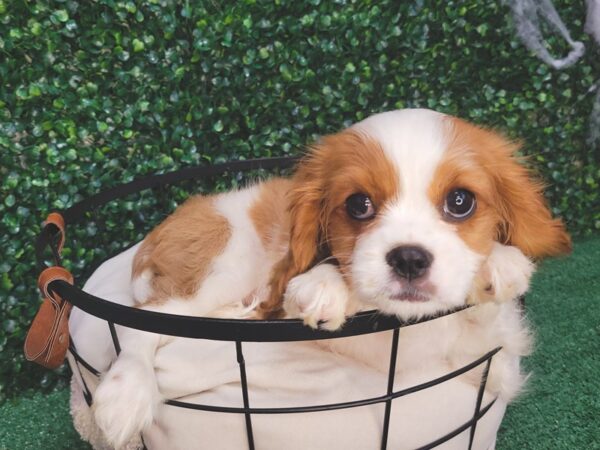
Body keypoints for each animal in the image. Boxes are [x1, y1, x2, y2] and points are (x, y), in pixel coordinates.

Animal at [94, 108, 572, 446]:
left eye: (460, 201)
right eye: (358, 204)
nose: (409, 258)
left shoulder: (486, 352)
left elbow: (491, 329)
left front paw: (499, 262)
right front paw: (324, 284)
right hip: (219, 261)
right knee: (144, 321)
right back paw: (124, 394)